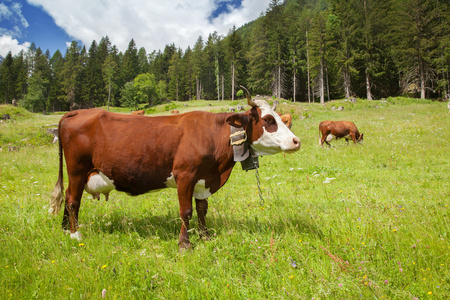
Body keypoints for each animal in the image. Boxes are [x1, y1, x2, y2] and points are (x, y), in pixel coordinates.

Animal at [51, 86, 300, 248]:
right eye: (268, 120)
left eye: (281, 117)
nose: (296, 141)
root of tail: (78, 111)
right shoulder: (185, 176)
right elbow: (186, 211)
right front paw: (184, 244)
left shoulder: (203, 180)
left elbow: (202, 209)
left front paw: (205, 236)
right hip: (77, 169)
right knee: (73, 200)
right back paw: (75, 235)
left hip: (81, 174)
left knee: (68, 196)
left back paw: (64, 229)